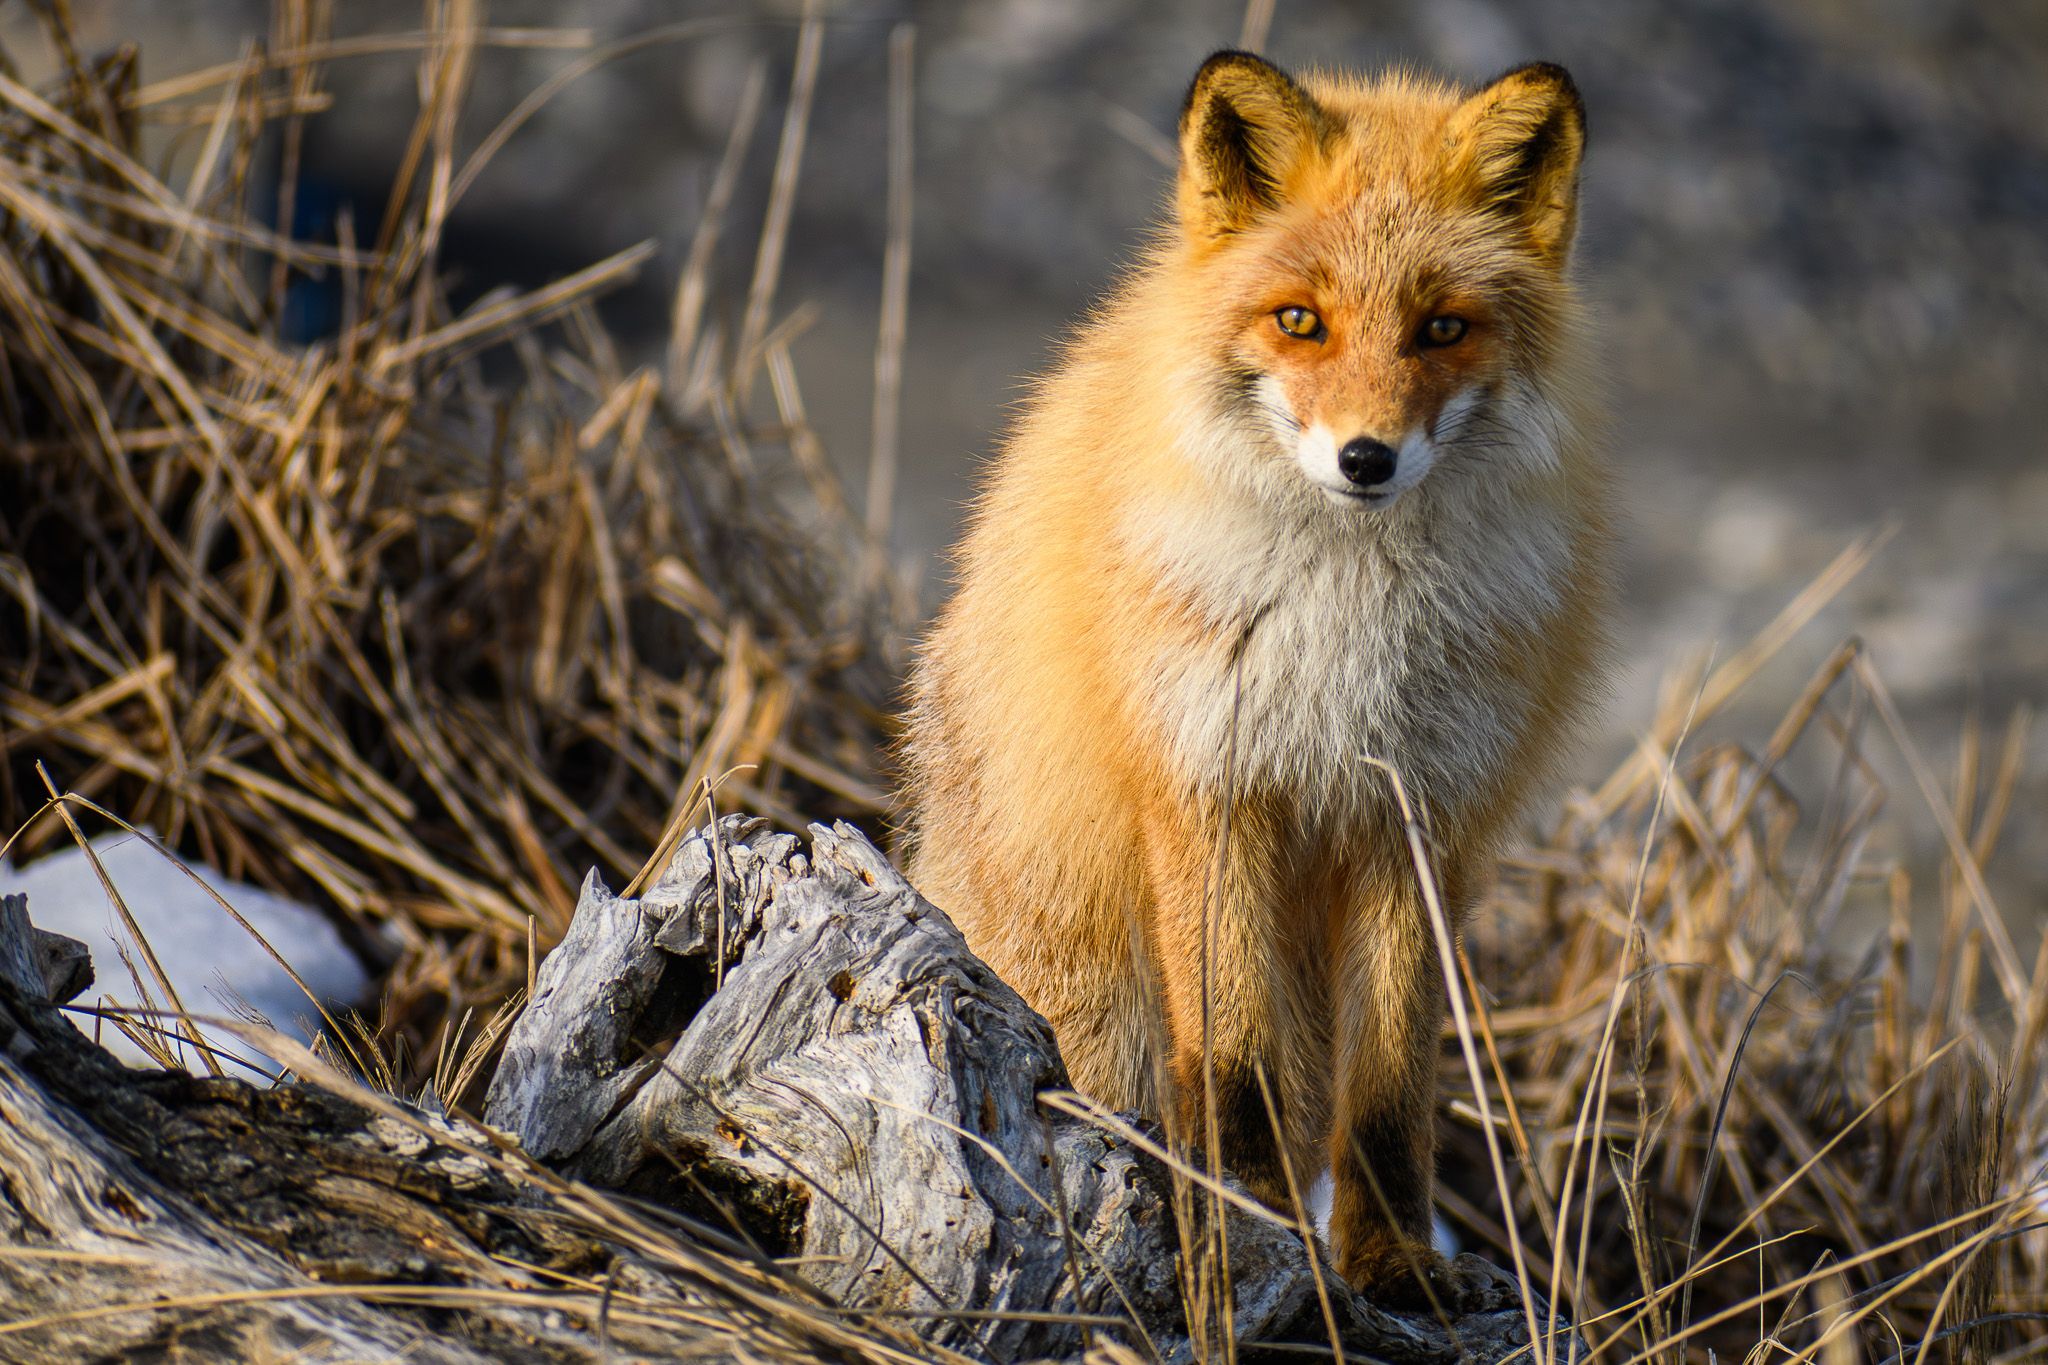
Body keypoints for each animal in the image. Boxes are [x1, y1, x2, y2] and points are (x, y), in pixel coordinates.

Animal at [900, 51, 1612, 1303]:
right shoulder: (1209, 787)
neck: (1346, 637)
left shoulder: (1415, 814)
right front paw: (1242, 1237)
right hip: (1090, 1001)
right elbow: (1231, 1065)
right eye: (1298, 322)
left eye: (1440, 327)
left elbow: (1388, 1087)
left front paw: (1387, 1262)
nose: (1365, 459)